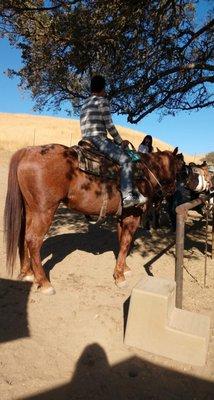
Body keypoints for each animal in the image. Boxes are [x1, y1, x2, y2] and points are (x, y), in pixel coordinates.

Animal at [3, 141, 184, 294]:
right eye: (180, 167)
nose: (172, 190)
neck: (144, 172)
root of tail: (28, 151)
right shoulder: (133, 216)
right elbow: (126, 242)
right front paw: (120, 276)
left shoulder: (122, 216)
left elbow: (121, 241)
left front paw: (124, 269)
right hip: (44, 211)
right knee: (33, 240)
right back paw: (44, 283)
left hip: (30, 210)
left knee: (23, 236)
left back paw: (27, 273)